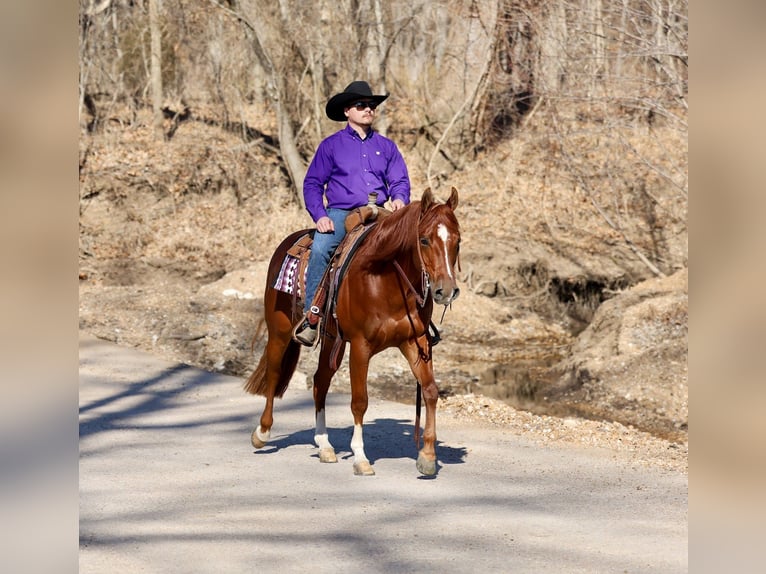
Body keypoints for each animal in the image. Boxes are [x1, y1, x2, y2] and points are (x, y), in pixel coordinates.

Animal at [244, 187, 461, 476]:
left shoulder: (415, 342)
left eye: (457, 241)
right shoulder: (360, 345)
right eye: (424, 240)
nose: (445, 291)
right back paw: (263, 432)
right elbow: (360, 401)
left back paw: (324, 446)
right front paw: (360, 458)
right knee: (275, 372)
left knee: (320, 381)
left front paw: (427, 456)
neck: (384, 279)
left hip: (331, 340)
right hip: (279, 331)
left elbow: (430, 391)